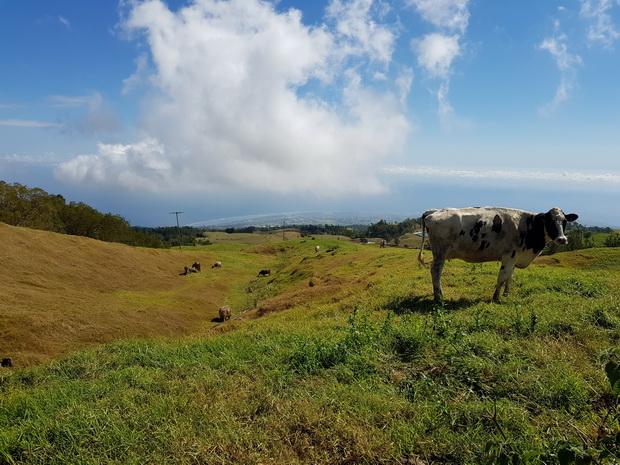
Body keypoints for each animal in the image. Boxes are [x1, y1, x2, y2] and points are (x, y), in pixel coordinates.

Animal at [418, 207, 580, 300]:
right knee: (436, 272)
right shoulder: (509, 255)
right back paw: (438, 296)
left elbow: (510, 278)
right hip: (440, 252)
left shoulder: (515, 257)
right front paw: (496, 298)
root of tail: (432, 211)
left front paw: (506, 294)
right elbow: (501, 277)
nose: (562, 239)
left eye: (564, 222)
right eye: (550, 222)